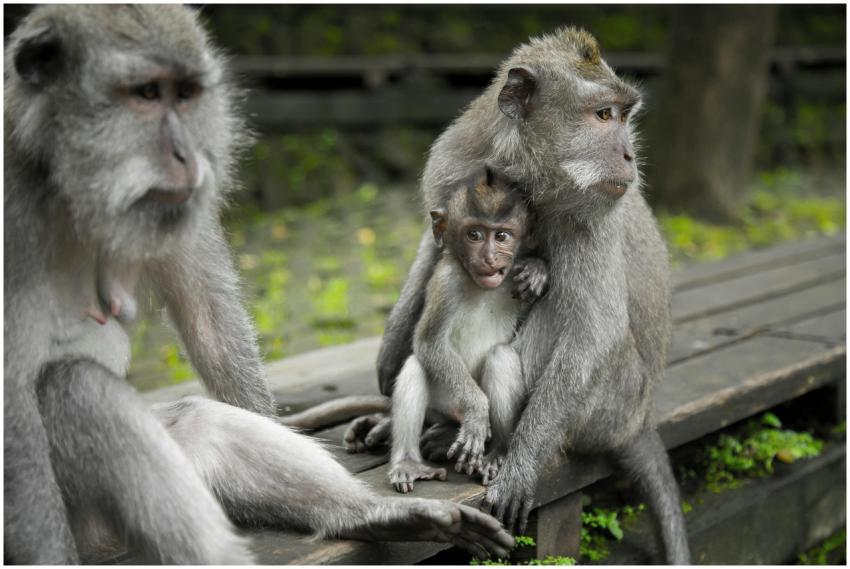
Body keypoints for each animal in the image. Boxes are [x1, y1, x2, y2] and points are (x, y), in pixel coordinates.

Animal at [4, 5, 513, 564]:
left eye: (185, 94)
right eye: (146, 94)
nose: (186, 155)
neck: (63, 179)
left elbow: (211, 327)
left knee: (195, 421)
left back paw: (373, 515)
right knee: (77, 387)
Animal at [389, 168, 548, 493]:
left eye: (502, 236)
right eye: (474, 235)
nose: (489, 258)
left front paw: (538, 270)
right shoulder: (446, 281)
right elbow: (429, 343)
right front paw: (476, 412)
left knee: (501, 357)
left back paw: (497, 452)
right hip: (446, 401)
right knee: (416, 367)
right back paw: (409, 462)